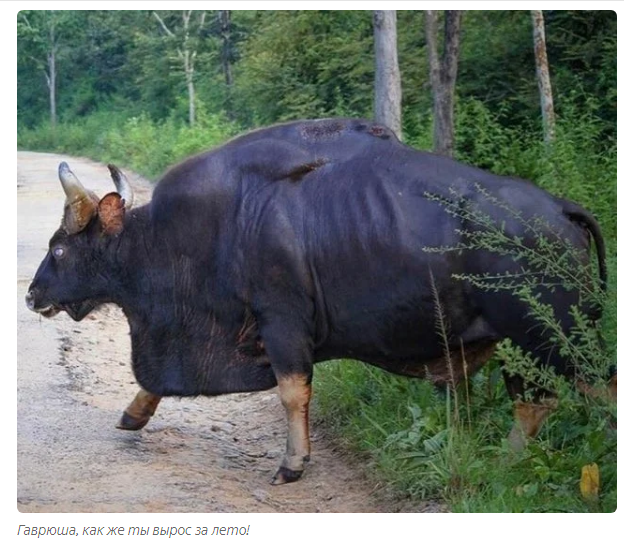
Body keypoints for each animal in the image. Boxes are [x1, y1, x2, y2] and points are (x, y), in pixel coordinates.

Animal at [26, 117, 612, 482]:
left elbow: (292, 393)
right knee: (534, 406)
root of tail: (561, 208)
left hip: (554, 341)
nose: (32, 295)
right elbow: (156, 381)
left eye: (58, 248)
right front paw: (133, 415)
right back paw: (504, 465)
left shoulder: (281, 323)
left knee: (583, 394)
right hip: (525, 346)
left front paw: (292, 463)